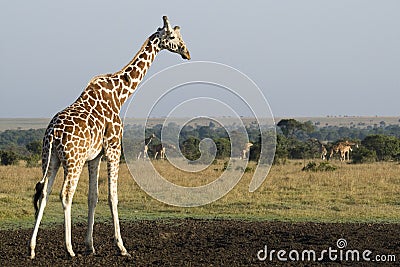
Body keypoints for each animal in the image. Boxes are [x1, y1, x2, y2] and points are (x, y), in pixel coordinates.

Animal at [29, 16, 191, 260]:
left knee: (44, 192)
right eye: (172, 36)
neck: (119, 95)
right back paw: (69, 249)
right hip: (73, 161)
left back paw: (31, 248)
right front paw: (121, 247)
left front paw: (90, 245)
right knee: (65, 194)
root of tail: (52, 133)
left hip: (51, 159)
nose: (186, 52)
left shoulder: (95, 156)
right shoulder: (113, 147)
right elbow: (112, 196)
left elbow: (93, 196)